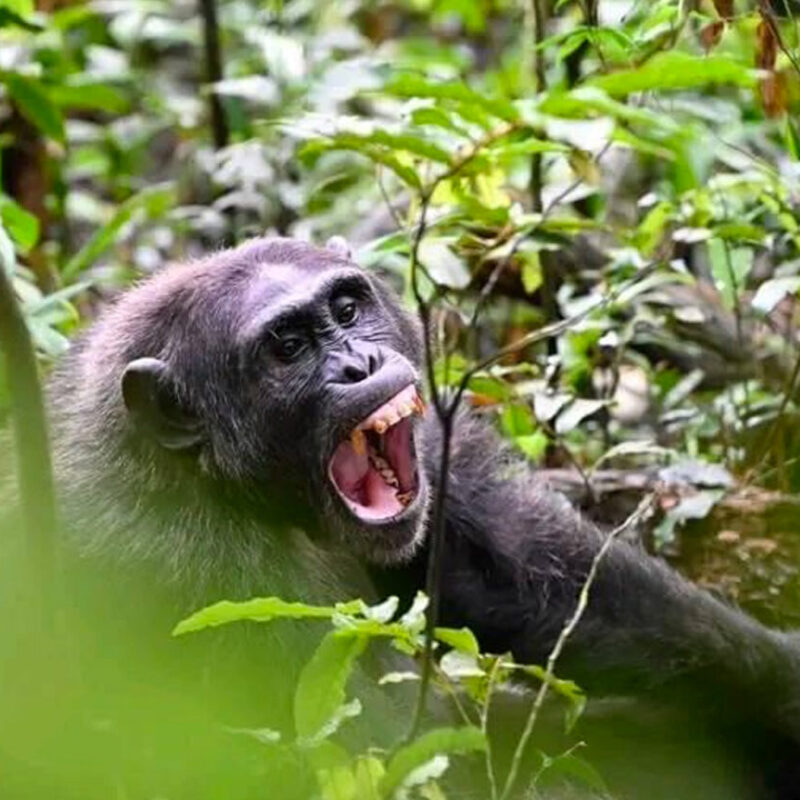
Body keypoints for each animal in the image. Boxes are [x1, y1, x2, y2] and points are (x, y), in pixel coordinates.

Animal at [39, 238, 800, 800]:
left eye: (347, 309)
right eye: (287, 348)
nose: (358, 362)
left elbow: (503, 566)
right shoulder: (200, 573)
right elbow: (384, 755)